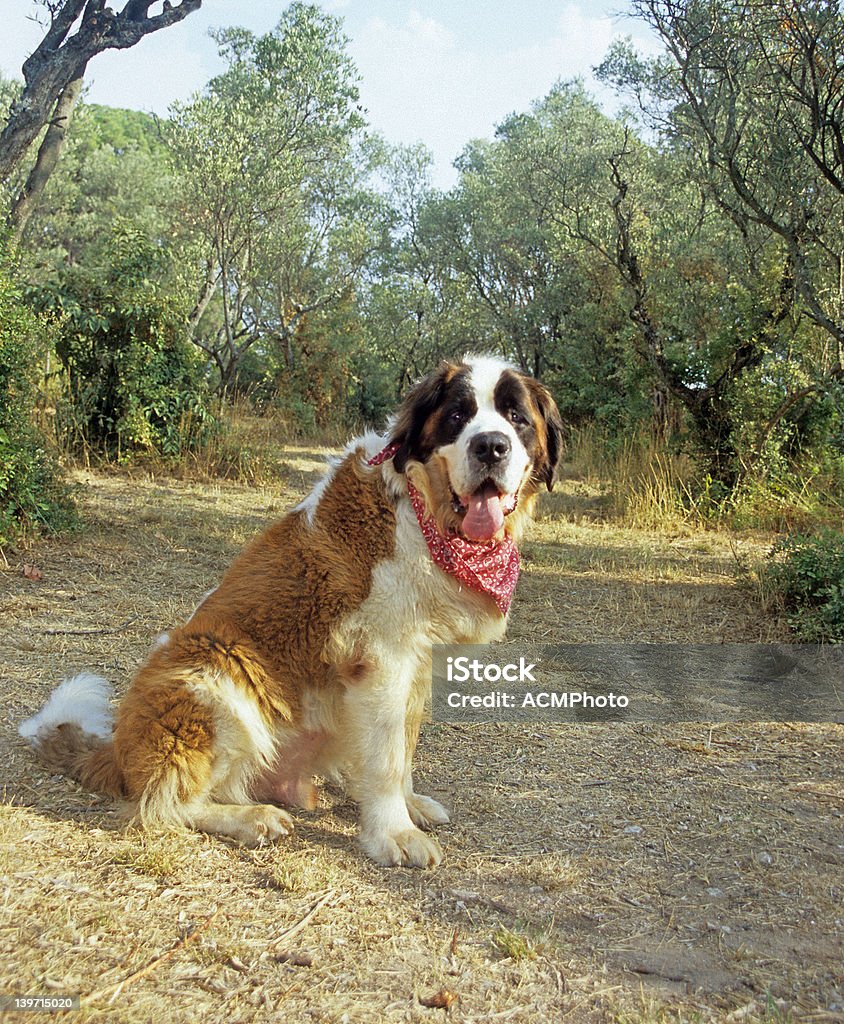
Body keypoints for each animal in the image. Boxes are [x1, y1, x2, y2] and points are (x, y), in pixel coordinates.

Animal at [21, 356, 561, 868]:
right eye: (456, 417)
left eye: (516, 418)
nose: (491, 446)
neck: (422, 507)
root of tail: (117, 752)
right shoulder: (382, 657)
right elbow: (386, 757)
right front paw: (394, 834)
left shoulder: (419, 659)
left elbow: (404, 742)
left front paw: (409, 806)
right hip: (214, 674)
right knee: (165, 805)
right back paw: (250, 819)